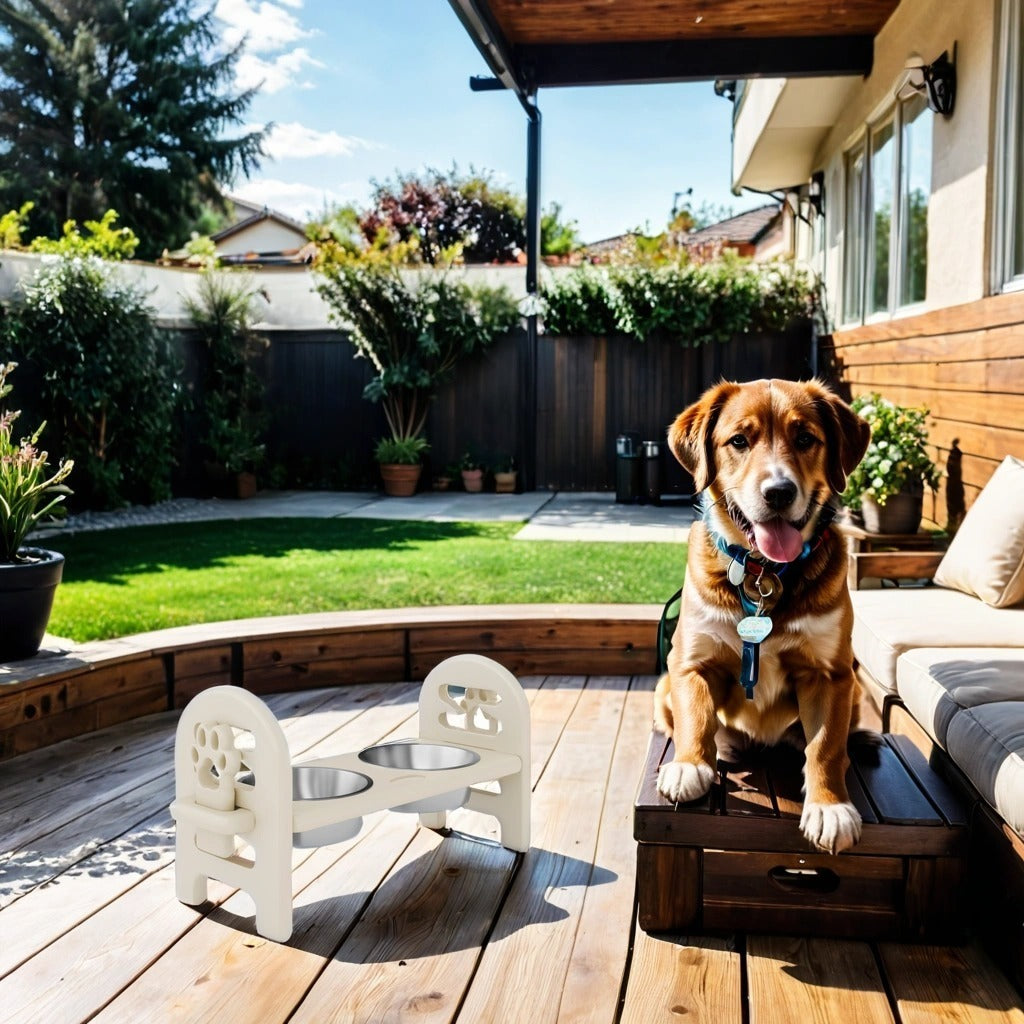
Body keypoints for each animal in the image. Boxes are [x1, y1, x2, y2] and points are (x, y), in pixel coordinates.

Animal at [655, 380, 872, 851]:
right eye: (739, 440)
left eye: (805, 438)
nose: (779, 492)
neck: (765, 573)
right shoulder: (690, 662)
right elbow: (695, 718)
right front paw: (689, 764)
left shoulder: (831, 674)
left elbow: (826, 746)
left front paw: (830, 807)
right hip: (663, 685)